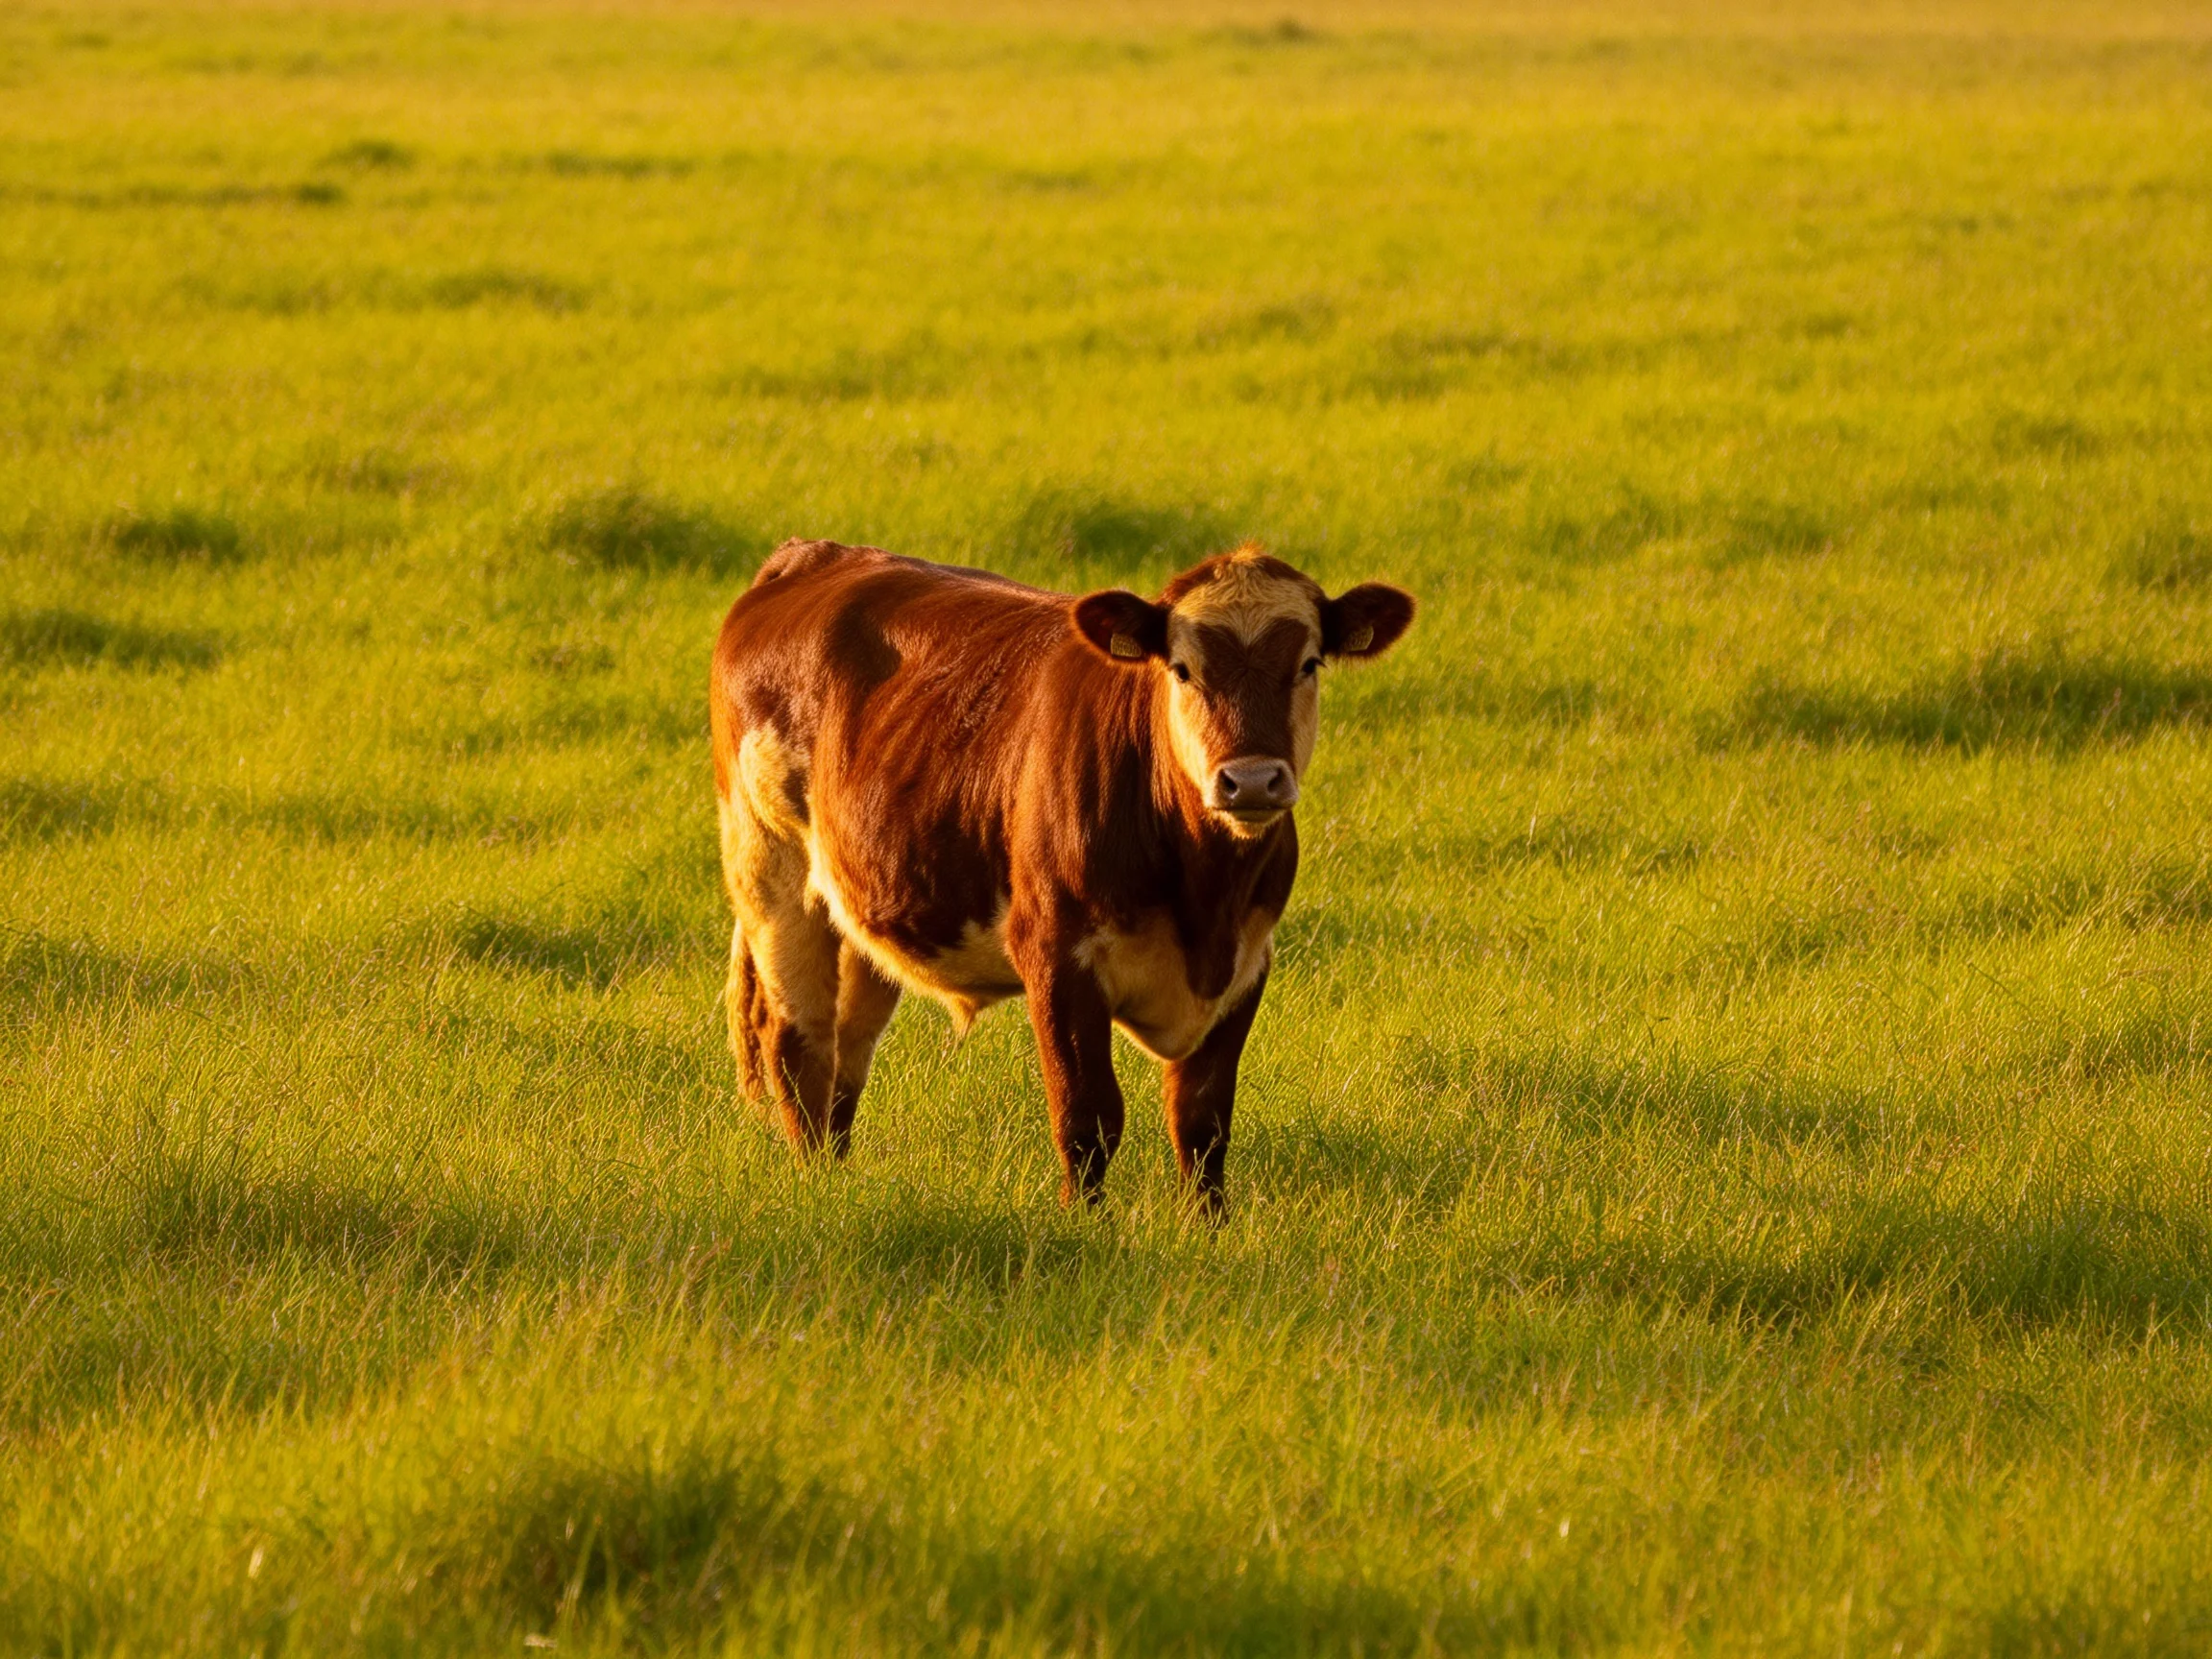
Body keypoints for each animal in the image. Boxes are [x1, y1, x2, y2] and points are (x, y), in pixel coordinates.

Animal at [709, 539, 1414, 1214]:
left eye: (1309, 664)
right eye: (1183, 669)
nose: (1252, 780)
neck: (1205, 895)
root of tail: (812, 555)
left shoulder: (1247, 962)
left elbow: (1203, 1121)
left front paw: (1209, 1227)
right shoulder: (1056, 953)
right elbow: (1088, 1116)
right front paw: (1086, 1226)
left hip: (864, 903)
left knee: (847, 1051)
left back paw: (837, 1174)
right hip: (769, 866)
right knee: (797, 1041)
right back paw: (814, 1183)